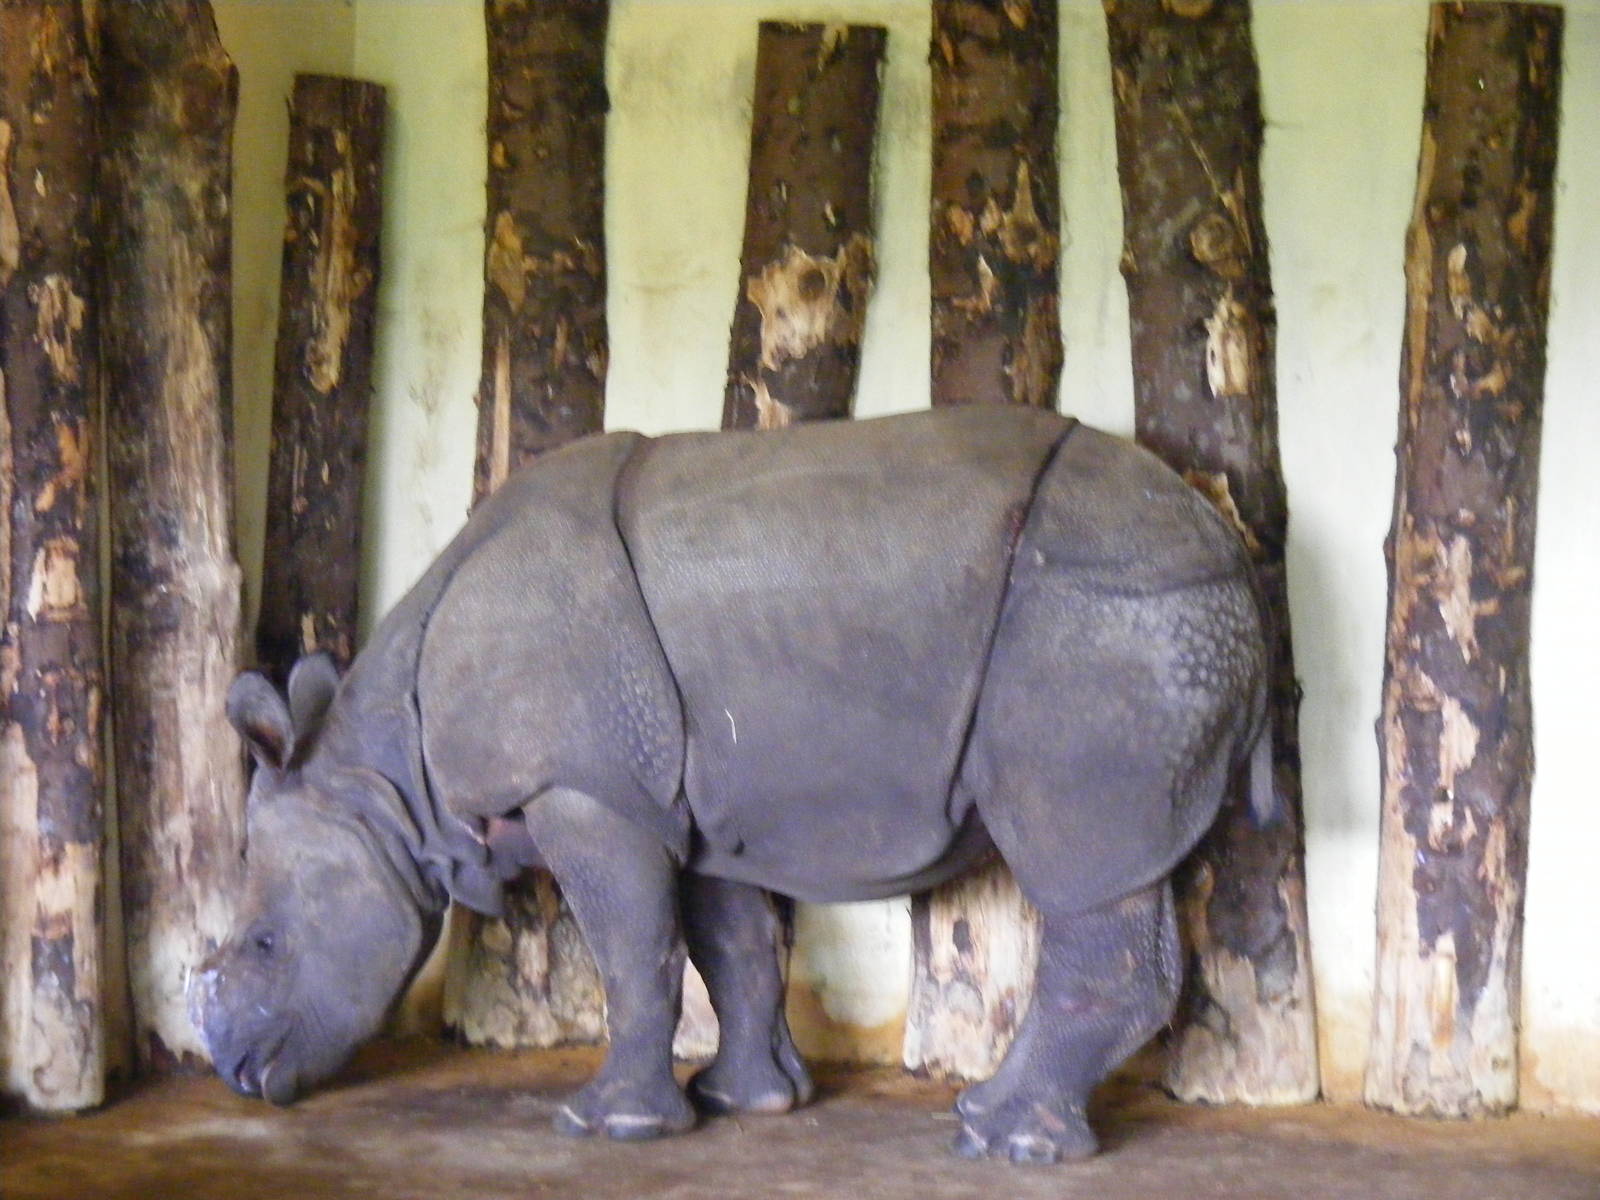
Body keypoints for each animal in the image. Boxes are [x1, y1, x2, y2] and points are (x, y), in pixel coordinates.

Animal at [190, 406, 1270, 1164]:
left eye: (265, 942)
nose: (237, 1076)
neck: (384, 784)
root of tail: (1232, 553)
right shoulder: (693, 805)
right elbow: (733, 947)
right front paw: (745, 1103)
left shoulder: (589, 791)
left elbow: (634, 951)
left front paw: (609, 1127)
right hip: (1145, 616)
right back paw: (996, 1124)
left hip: (1110, 616)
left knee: (1083, 861)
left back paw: (999, 1140)